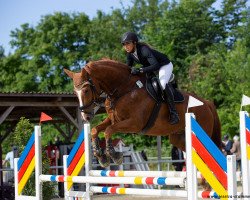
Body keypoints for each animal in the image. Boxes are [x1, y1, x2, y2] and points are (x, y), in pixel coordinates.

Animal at [64, 59, 221, 167]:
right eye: (75, 93)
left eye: (85, 90)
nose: (86, 116)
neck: (123, 89)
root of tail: (207, 103)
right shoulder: (114, 119)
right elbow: (96, 130)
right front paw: (101, 157)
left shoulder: (135, 123)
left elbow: (108, 131)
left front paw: (115, 156)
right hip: (178, 138)